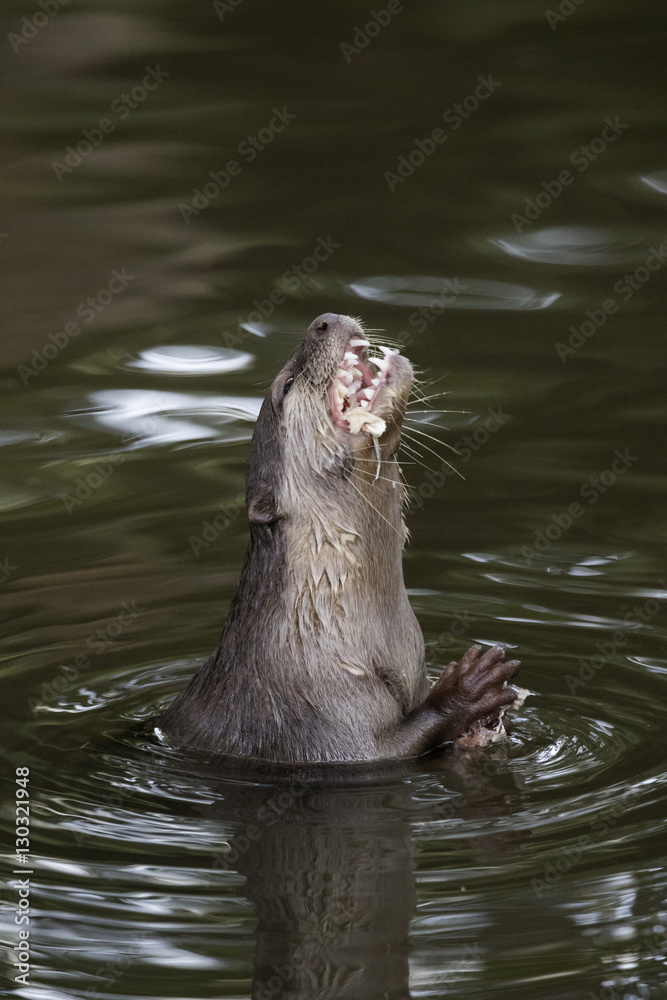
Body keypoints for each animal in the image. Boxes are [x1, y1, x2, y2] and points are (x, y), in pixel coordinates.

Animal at [158, 313, 521, 763]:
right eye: (286, 386)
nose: (323, 320)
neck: (309, 633)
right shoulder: (325, 717)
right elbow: (391, 747)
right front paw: (468, 689)